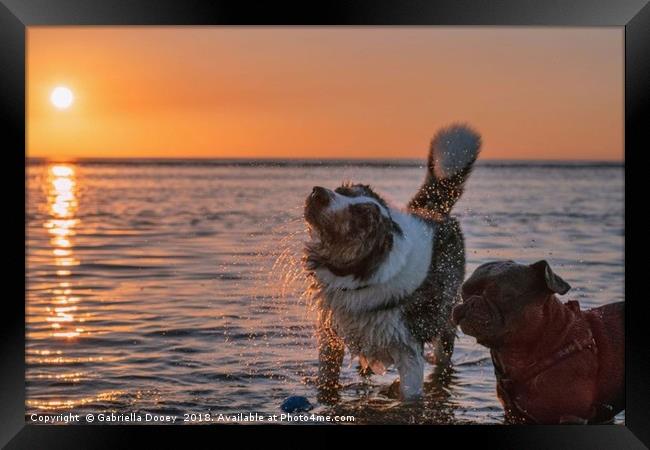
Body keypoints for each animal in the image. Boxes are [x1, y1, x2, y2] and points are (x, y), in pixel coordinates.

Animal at [304, 123, 480, 400]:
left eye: (361, 215)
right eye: (342, 192)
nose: (318, 192)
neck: (358, 278)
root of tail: (435, 210)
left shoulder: (409, 348)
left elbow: (410, 395)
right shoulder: (330, 333)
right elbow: (326, 380)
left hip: (445, 322)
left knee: (444, 354)